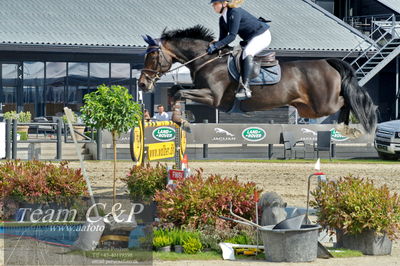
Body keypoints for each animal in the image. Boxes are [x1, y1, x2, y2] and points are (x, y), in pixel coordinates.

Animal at [138, 24, 376, 134]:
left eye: (152, 56)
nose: (142, 83)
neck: (208, 59)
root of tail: (326, 61)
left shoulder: (213, 97)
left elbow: (179, 91)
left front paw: (183, 121)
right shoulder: (199, 89)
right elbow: (174, 91)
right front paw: (179, 118)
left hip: (322, 104)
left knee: (350, 100)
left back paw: (354, 124)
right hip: (308, 108)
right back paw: (345, 127)